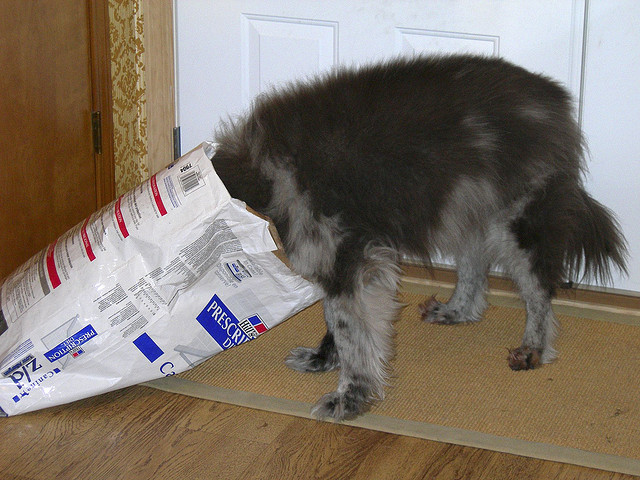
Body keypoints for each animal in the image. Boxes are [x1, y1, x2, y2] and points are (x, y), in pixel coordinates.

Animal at [209, 54, 624, 418]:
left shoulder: (348, 258)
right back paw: (457, 311)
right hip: (466, 210)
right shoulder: (343, 261)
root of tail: (554, 99)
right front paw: (324, 359)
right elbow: (336, 321)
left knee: (539, 292)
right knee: (475, 273)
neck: (268, 172)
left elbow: (351, 332)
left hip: (514, 222)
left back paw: (533, 349)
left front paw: (350, 396)